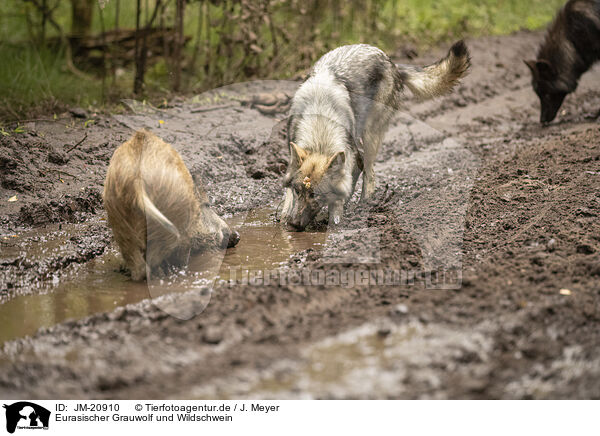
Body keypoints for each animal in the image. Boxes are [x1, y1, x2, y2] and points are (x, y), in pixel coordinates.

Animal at [278, 41, 472, 232]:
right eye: (298, 191)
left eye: (316, 195)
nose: (294, 224)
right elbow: (288, 195)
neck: (319, 127)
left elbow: (340, 197)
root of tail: (390, 60)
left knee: (368, 172)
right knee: (360, 168)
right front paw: (284, 217)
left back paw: (363, 205)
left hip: (370, 136)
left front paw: (335, 222)